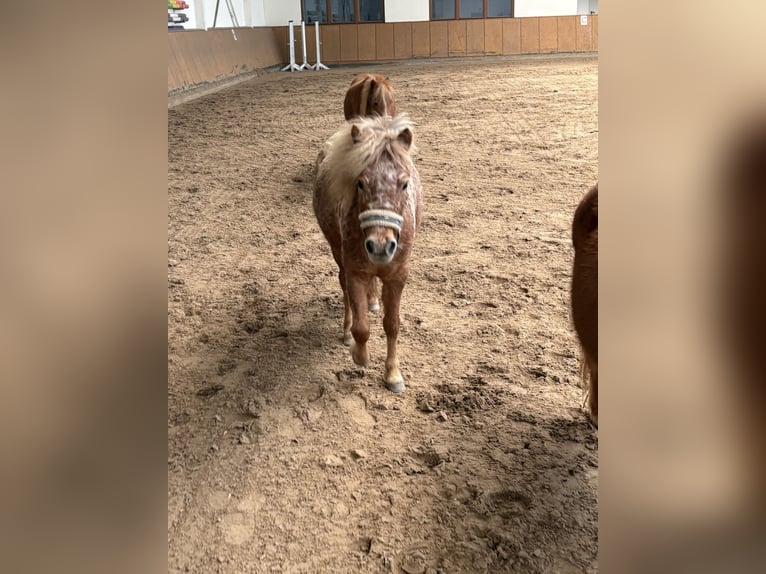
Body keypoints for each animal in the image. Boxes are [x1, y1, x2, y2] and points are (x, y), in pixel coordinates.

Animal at [314, 115, 426, 394]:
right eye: (360, 183)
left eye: (404, 184)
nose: (380, 246)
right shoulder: (355, 271)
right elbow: (361, 328)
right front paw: (359, 354)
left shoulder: (397, 276)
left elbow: (392, 324)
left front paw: (393, 375)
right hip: (338, 254)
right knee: (344, 290)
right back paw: (346, 331)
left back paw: (374, 301)